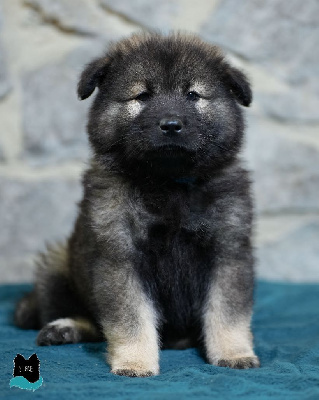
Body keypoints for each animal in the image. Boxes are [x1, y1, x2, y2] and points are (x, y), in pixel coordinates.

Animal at [14, 32, 260, 376]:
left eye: (193, 95)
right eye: (142, 96)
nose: (171, 124)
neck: (168, 182)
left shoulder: (228, 252)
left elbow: (227, 312)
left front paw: (234, 352)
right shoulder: (120, 256)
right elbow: (129, 316)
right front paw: (134, 360)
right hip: (56, 265)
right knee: (85, 317)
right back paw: (64, 326)